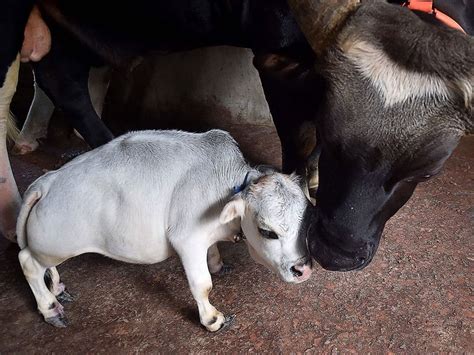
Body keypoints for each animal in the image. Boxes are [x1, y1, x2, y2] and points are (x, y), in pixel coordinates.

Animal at [0, 0, 472, 272]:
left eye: (426, 173)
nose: (336, 254)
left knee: (61, 76)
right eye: (334, 136)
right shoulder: (279, 59)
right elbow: (297, 139)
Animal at [17, 129, 314, 332]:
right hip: (57, 245)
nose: (304, 270)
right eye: (267, 231)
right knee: (28, 261)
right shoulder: (187, 238)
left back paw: (57, 287)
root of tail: (46, 181)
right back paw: (50, 309)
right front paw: (212, 319)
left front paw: (218, 264)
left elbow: (213, 253)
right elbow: (202, 284)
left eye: (306, 223)